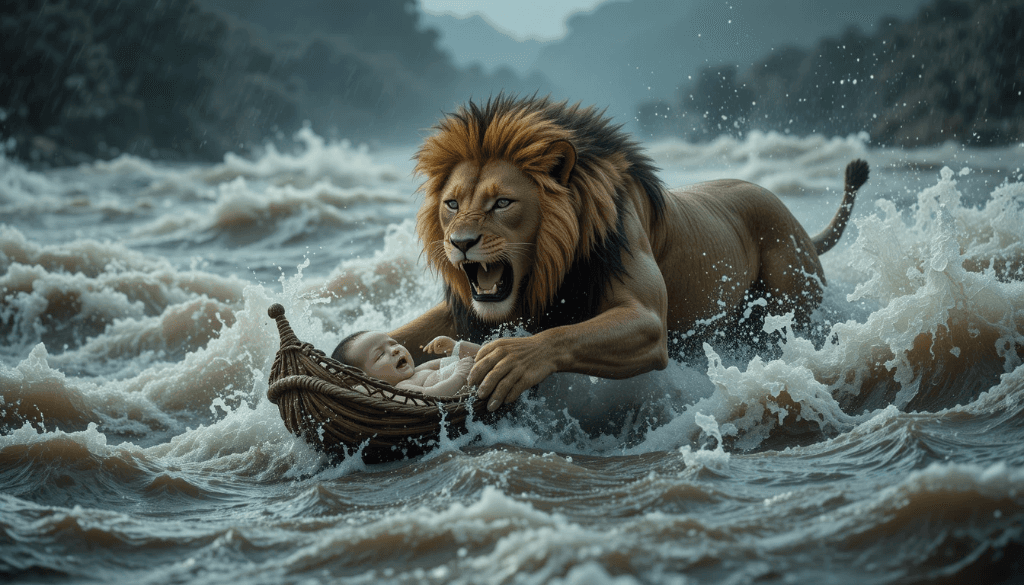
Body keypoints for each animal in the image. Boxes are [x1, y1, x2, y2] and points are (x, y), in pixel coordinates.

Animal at [389, 94, 869, 411]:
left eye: (502, 203)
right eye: (452, 204)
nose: (460, 243)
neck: (546, 272)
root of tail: (796, 222)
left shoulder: (647, 319)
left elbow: (563, 335)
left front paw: (510, 359)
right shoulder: (468, 307)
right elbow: (410, 331)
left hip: (790, 305)